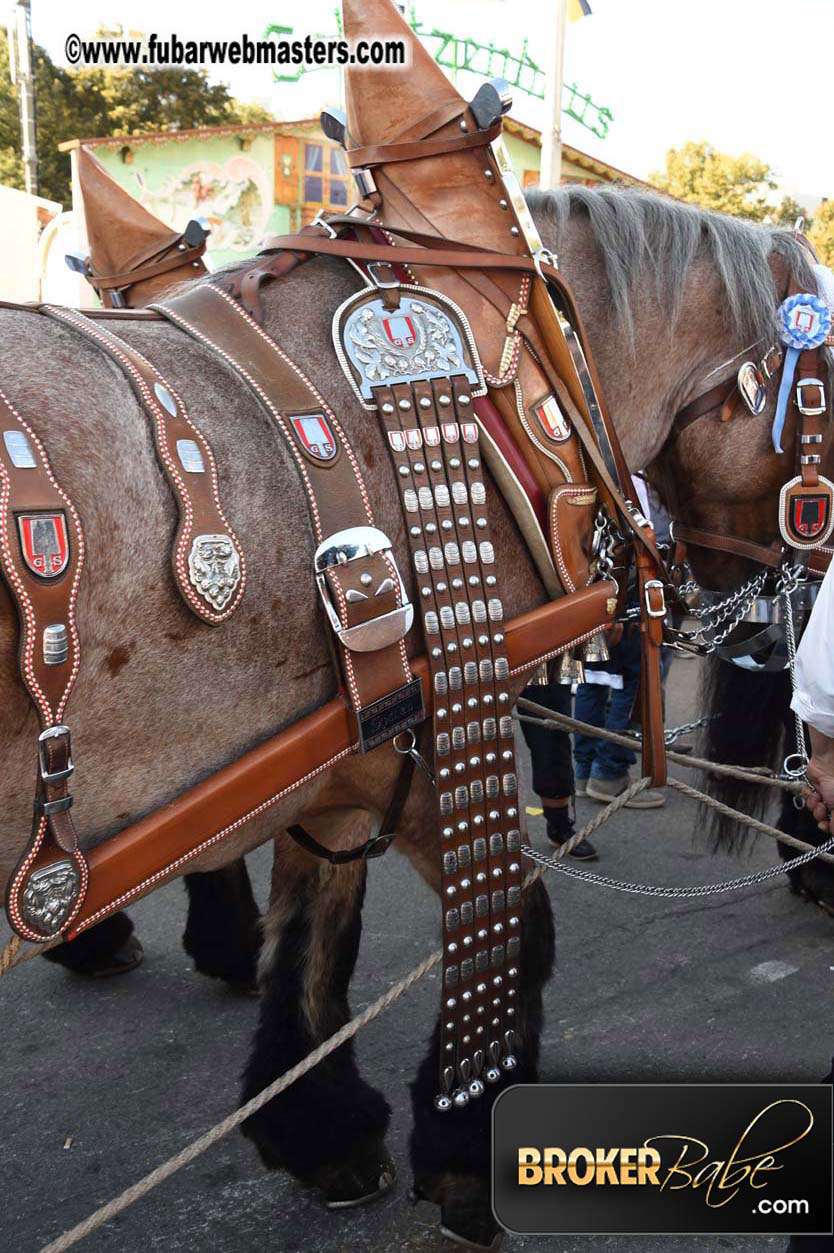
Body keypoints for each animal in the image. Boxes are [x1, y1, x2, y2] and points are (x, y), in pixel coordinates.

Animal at [1, 185, 826, 1242]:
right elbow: (518, 918)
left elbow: (318, 929)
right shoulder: (419, 737)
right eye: (828, 387)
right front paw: (465, 1146)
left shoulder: (346, 754)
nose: (770, 618)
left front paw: (319, 1124)